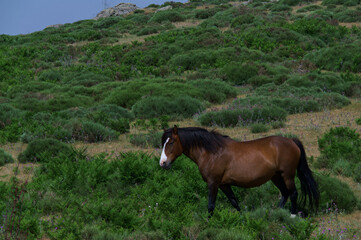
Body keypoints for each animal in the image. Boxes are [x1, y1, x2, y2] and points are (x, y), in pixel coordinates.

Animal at [160, 126, 318, 217]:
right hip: (276, 177)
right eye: (163, 143)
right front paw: (242, 219)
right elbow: (234, 202)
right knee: (285, 193)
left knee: (293, 193)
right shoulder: (223, 184)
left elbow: (211, 206)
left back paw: (291, 216)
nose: (163, 163)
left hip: (287, 175)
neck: (212, 152)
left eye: (171, 142)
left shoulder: (213, 183)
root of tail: (291, 141)